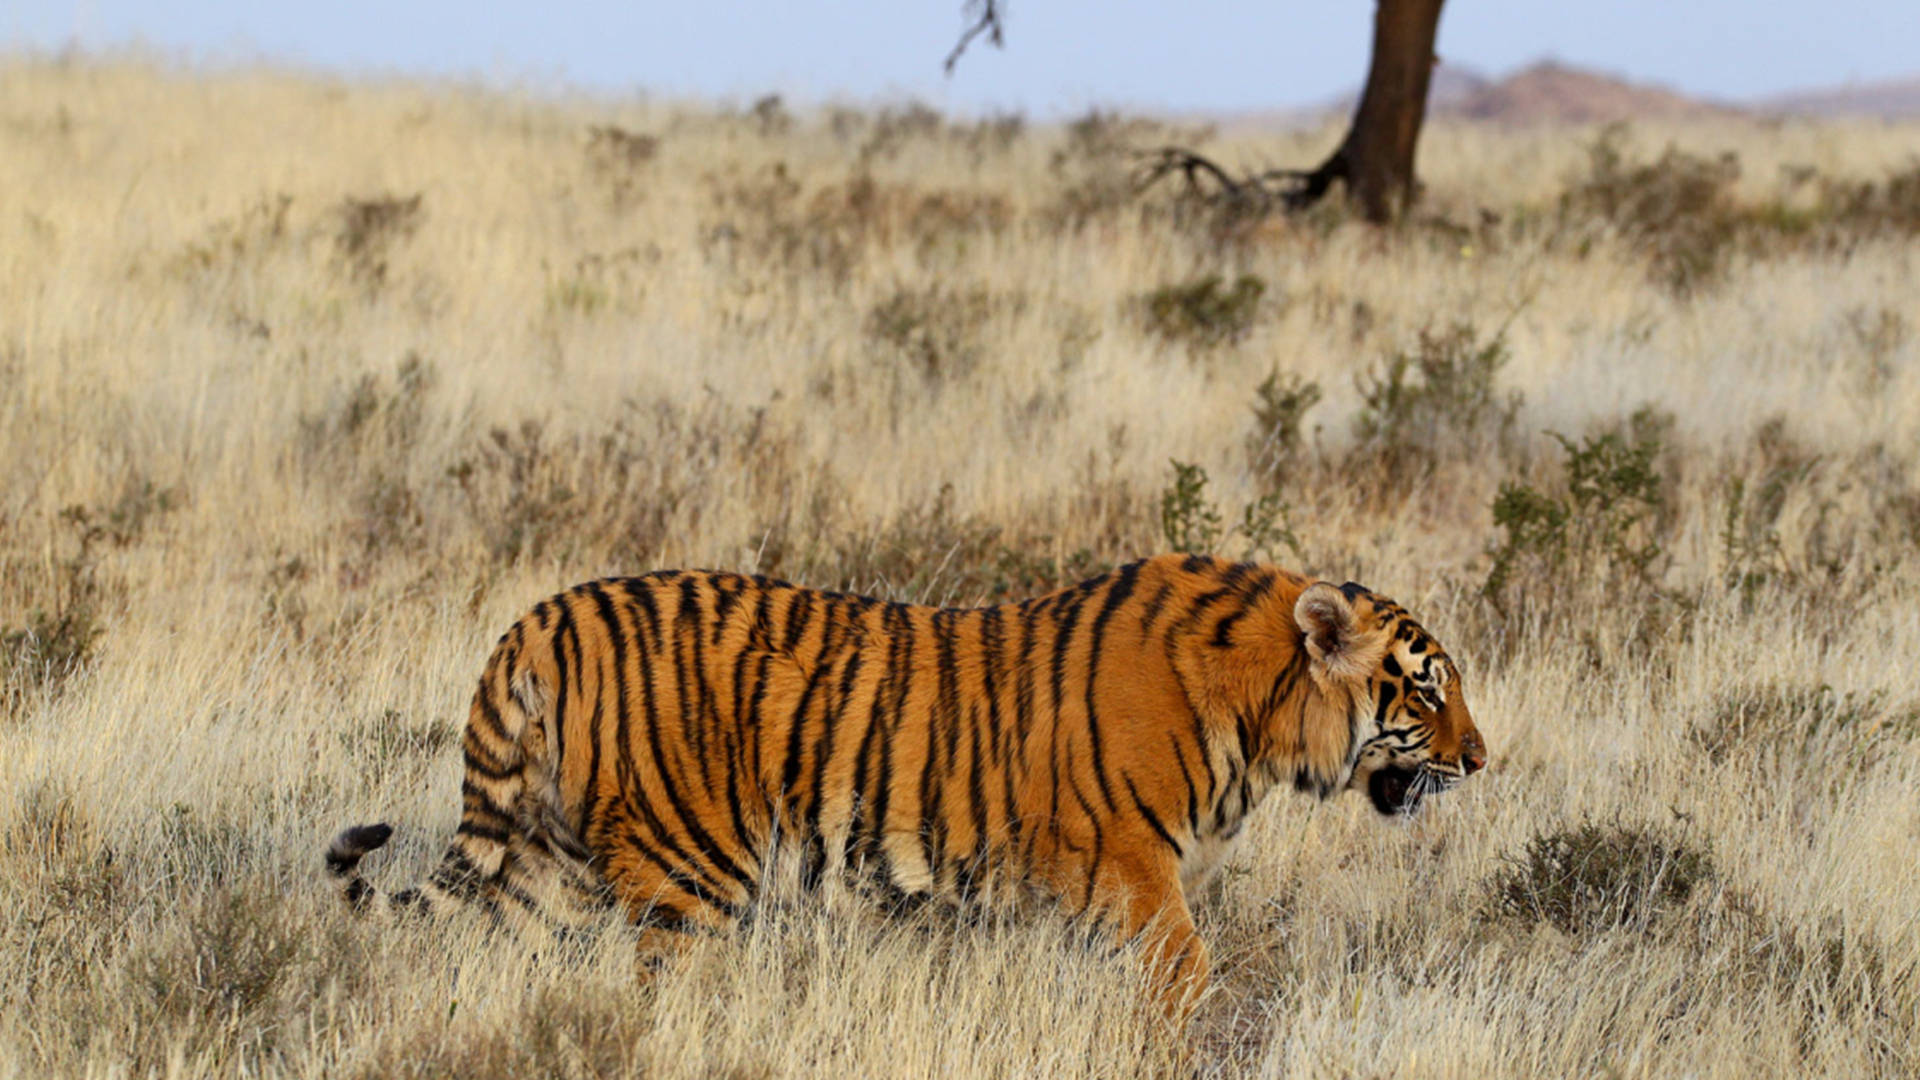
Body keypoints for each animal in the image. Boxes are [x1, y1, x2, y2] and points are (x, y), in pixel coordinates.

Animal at [330, 549, 1489, 1014]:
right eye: (1429, 689)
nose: (1483, 760)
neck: (1261, 718)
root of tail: (543, 616)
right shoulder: (1136, 875)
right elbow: (1188, 979)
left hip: (548, 865)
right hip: (688, 874)